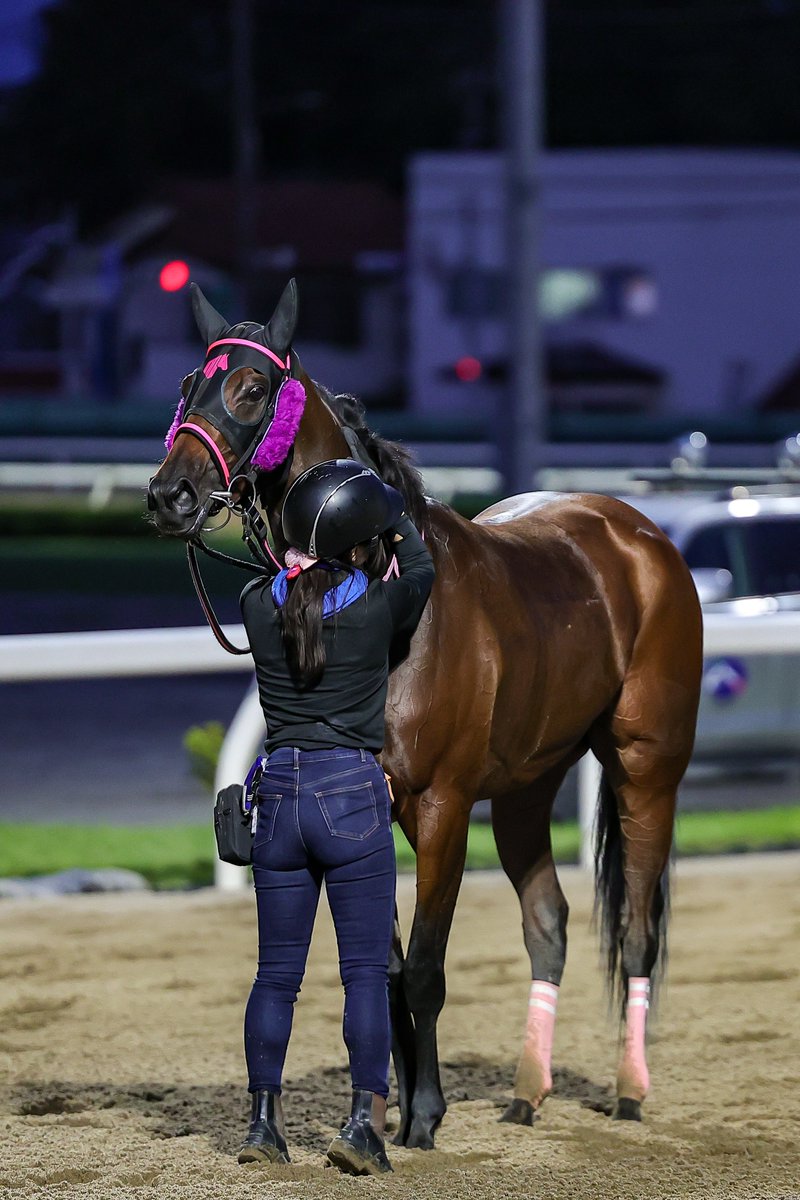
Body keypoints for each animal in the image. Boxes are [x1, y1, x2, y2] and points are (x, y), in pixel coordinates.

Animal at [147, 279, 702, 1149]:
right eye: (185, 386)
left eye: (251, 388)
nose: (169, 495)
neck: (387, 584)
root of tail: (642, 536)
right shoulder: (369, 810)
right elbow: (380, 969)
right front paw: (385, 1110)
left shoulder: (441, 808)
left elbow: (424, 972)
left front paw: (421, 1119)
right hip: (525, 787)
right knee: (548, 921)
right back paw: (528, 1092)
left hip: (648, 765)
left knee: (638, 929)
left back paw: (630, 1090)